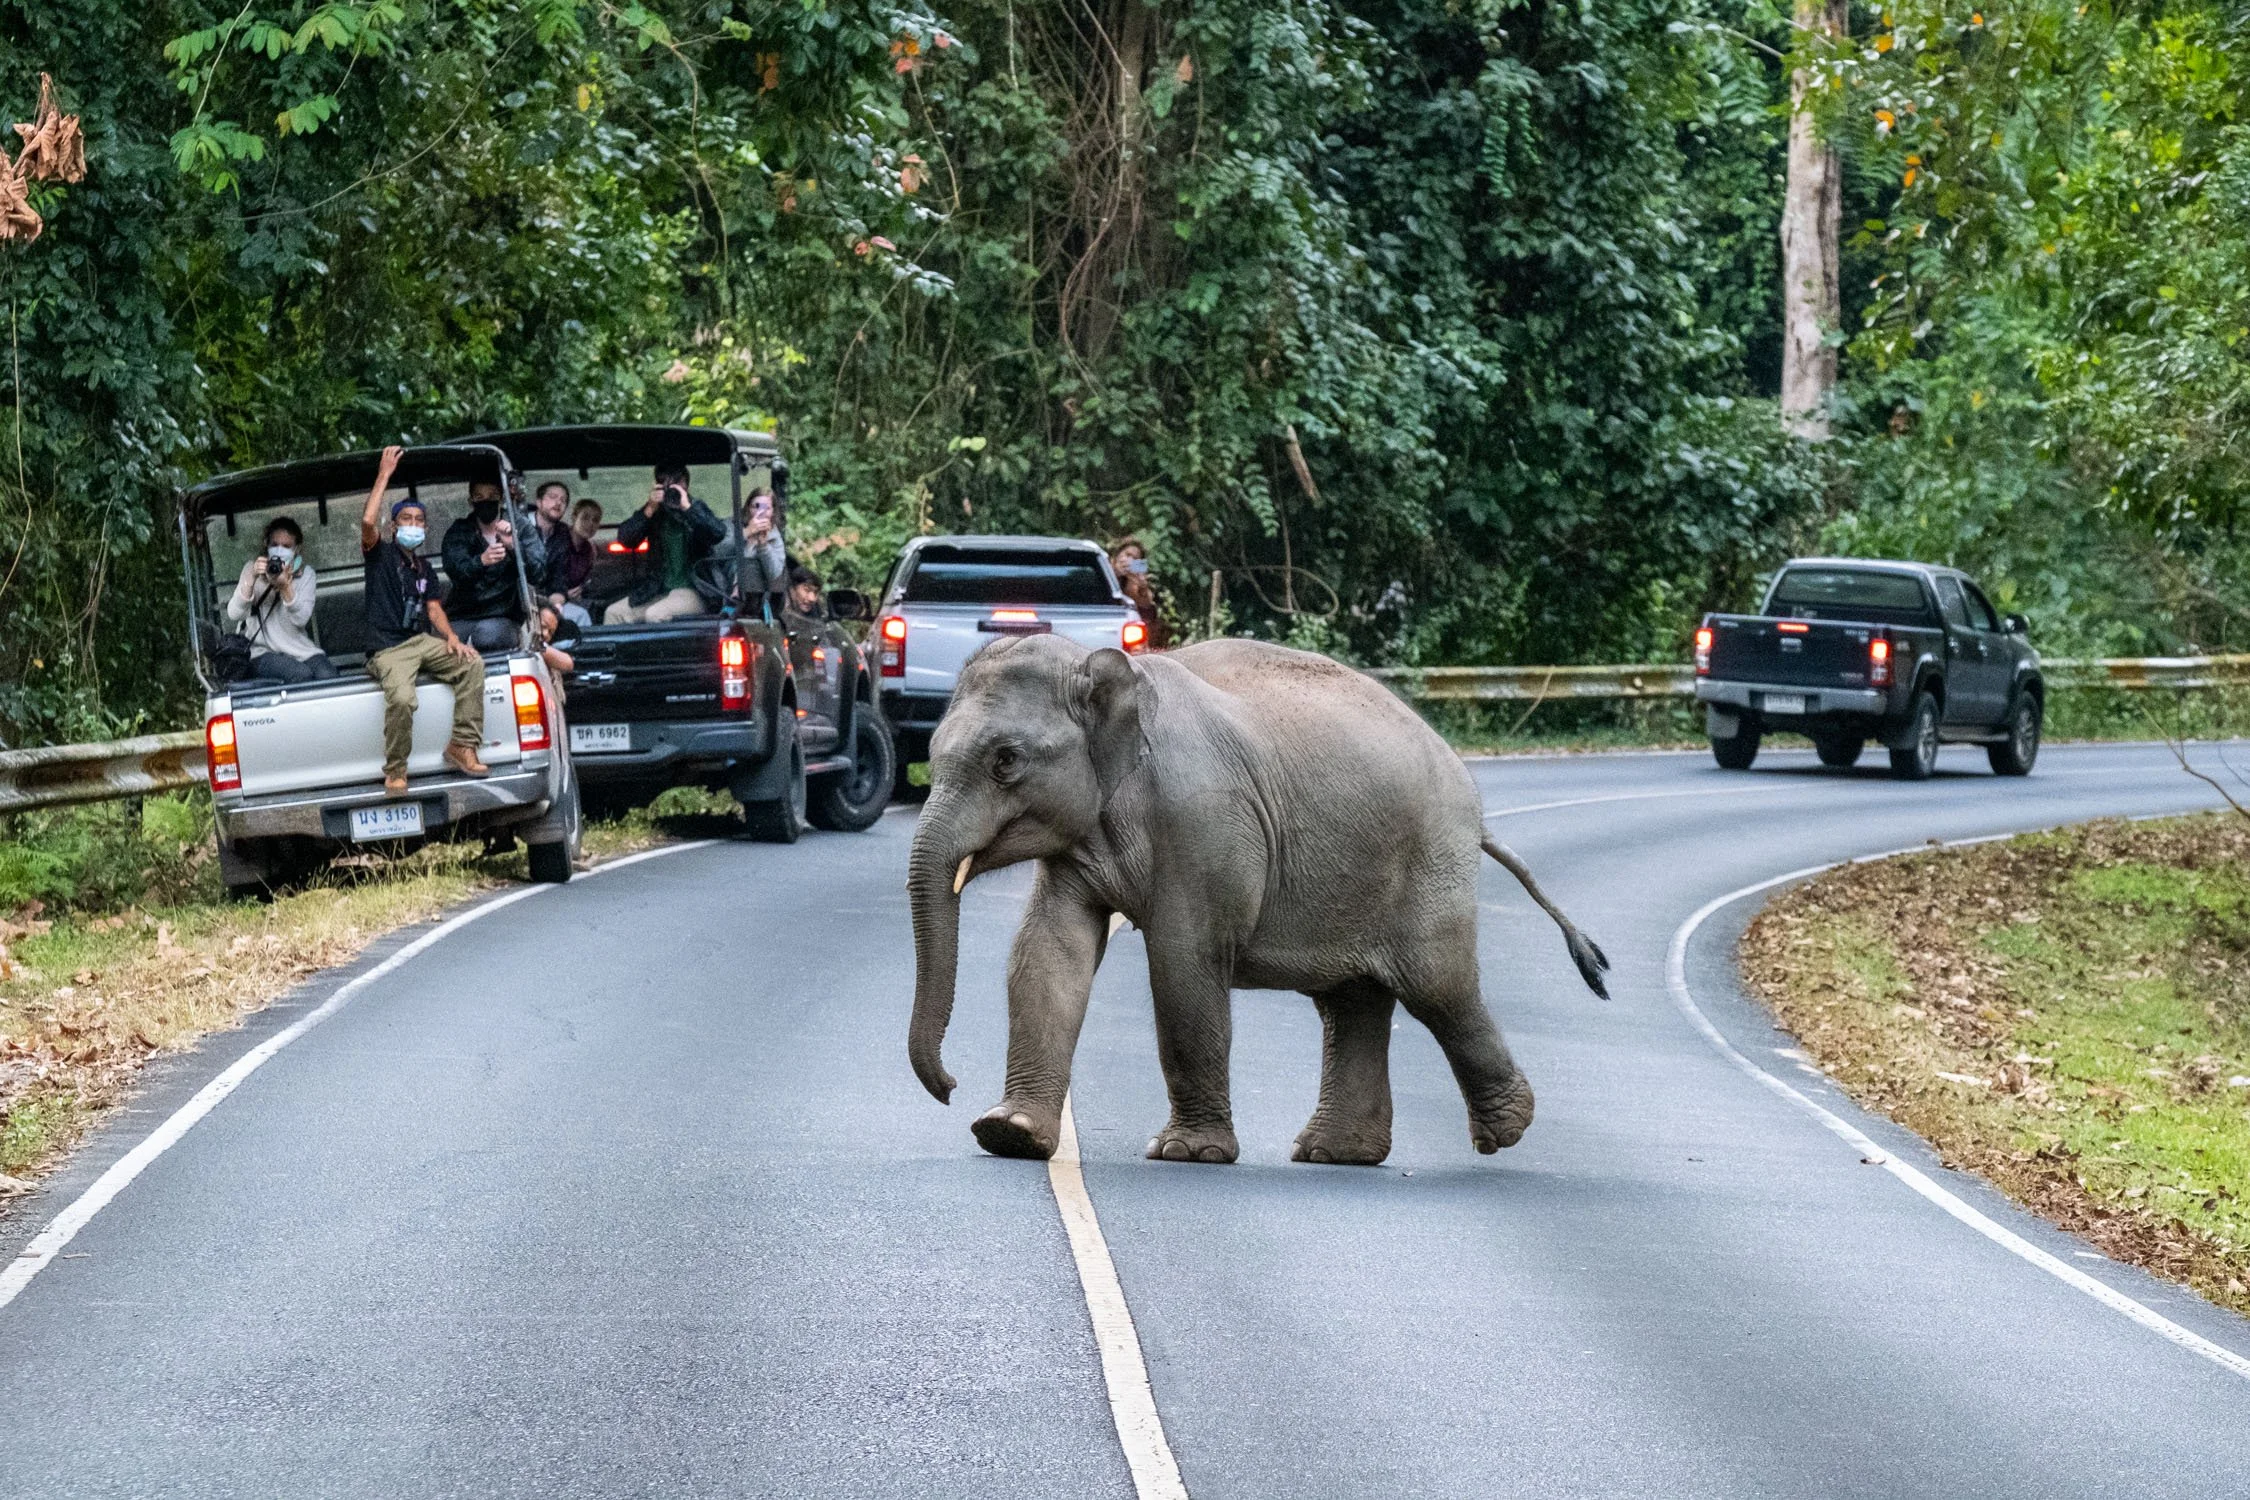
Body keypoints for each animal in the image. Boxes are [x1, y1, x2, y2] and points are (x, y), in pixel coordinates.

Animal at [906, 634, 1609, 1166]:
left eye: (1006, 761)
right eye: (933, 753)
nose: (948, 1088)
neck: (1115, 674)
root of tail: (1472, 796)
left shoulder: (1205, 819)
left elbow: (1183, 961)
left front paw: (1186, 1154)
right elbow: (1050, 953)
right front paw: (1009, 1134)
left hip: (1428, 862)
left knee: (1438, 987)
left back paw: (1504, 1130)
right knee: (1353, 1001)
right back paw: (1335, 1155)